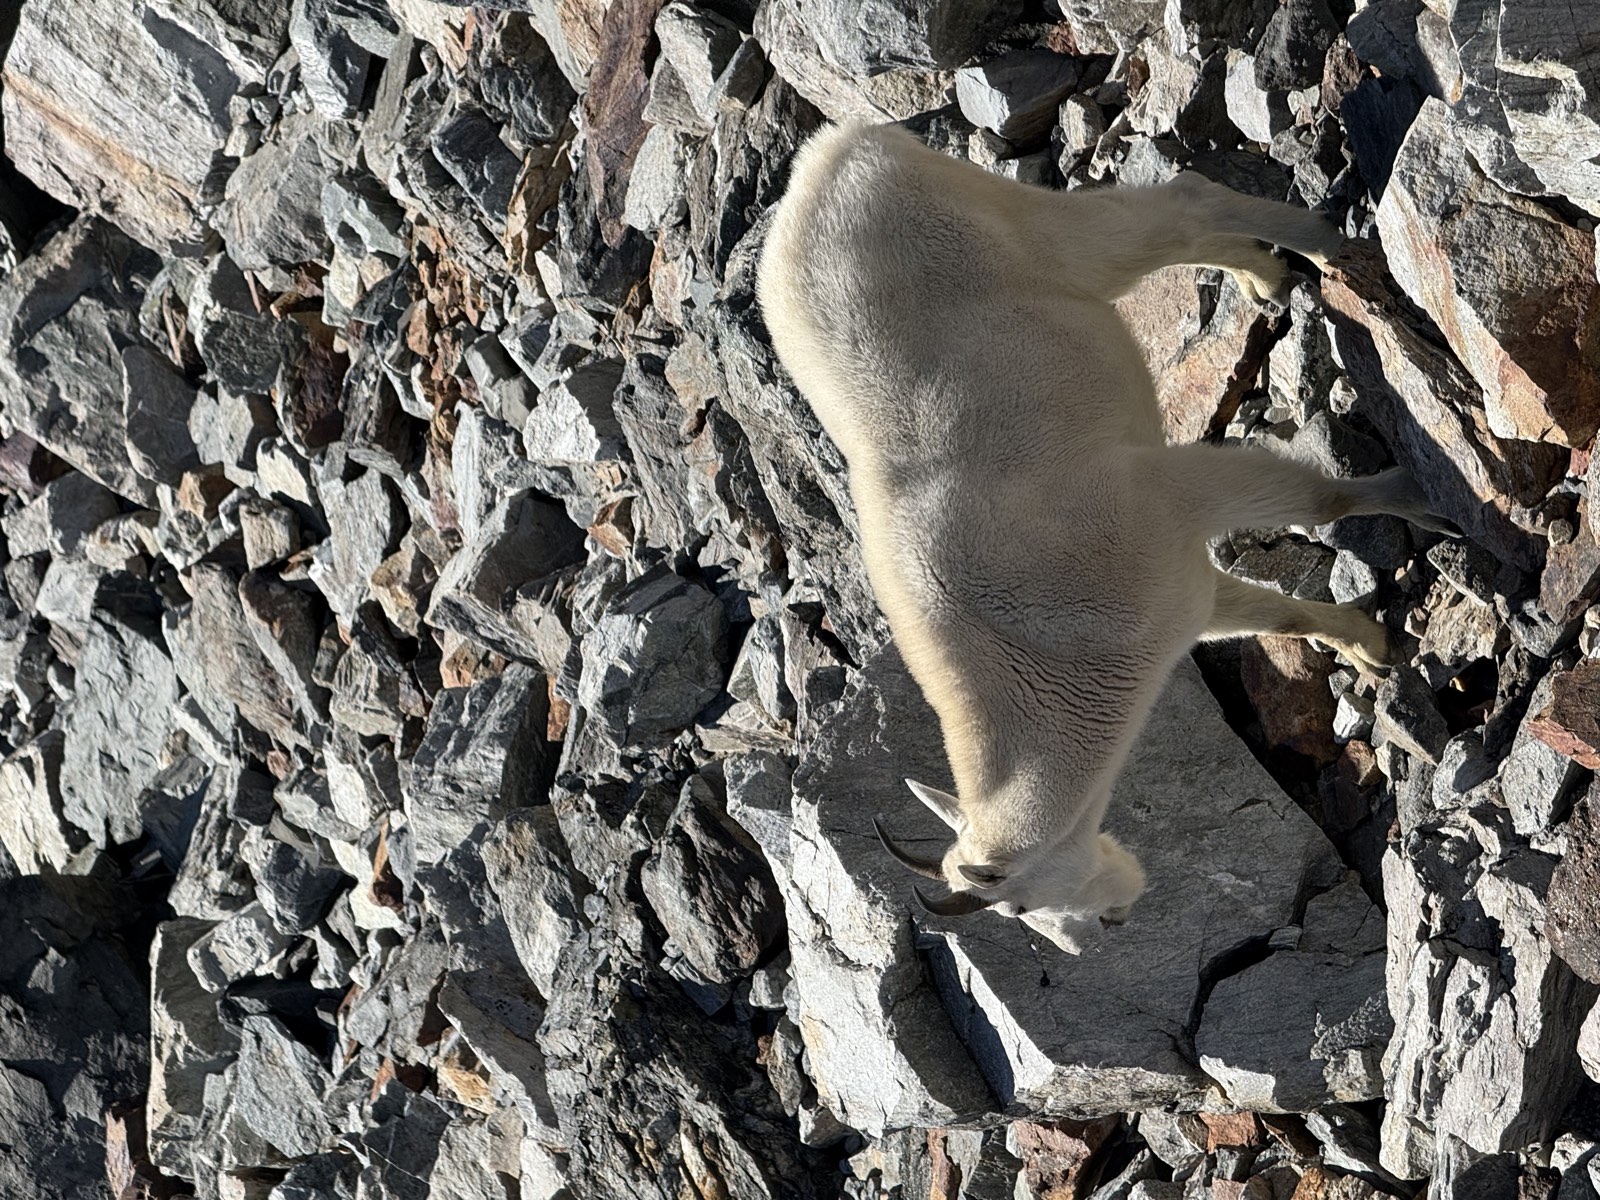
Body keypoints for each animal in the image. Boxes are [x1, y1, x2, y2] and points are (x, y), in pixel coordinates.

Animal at [755, 122, 1455, 955]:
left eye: (1018, 904)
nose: (1103, 928)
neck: (1049, 656)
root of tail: (825, 156)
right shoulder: (1184, 596)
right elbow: (1276, 612)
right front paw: (1371, 650)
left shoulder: (1167, 499)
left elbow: (1320, 500)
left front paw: (1421, 501)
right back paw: (1266, 279)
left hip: (1050, 236)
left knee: (1177, 209)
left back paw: (1318, 245)